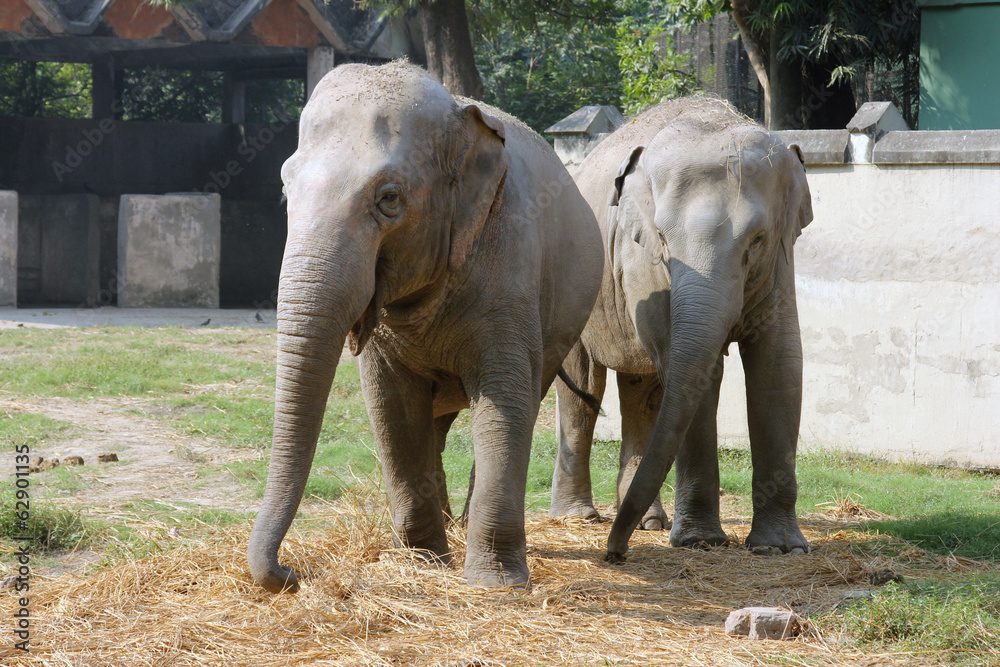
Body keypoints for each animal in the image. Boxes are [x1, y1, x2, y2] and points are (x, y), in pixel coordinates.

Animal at [247, 61, 604, 592]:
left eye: (389, 198)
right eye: (287, 187)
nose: (290, 573)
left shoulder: (511, 265)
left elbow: (506, 398)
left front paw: (495, 584)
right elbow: (391, 407)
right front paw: (423, 563)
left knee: (524, 396)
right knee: (432, 422)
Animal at [549, 98, 813, 560]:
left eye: (757, 240)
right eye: (662, 239)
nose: (613, 553)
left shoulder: (780, 263)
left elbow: (778, 367)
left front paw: (780, 548)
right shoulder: (641, 262)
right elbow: (693, 371)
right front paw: (701, 542)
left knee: (642, 393)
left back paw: (650, 523)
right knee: (583, 392)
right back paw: (577, 517)